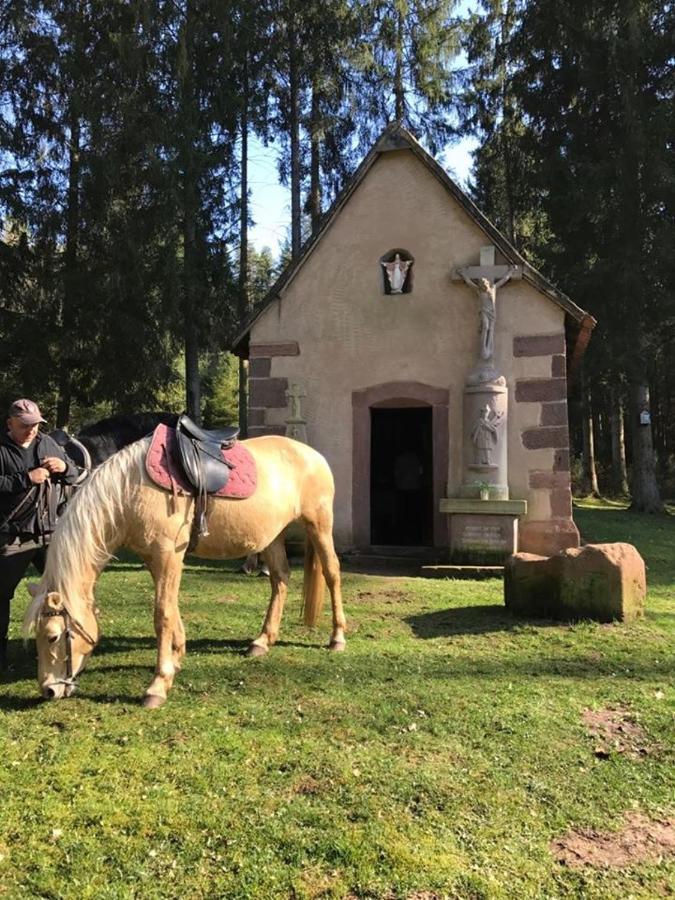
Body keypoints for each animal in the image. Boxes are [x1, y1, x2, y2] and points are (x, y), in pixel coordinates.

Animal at [23, 432, 346, 708]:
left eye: (52, 636)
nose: (48, 690)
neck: (130, 491)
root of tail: (313, 454)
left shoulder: (168, 556)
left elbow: (162, 614)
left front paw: (158, 685)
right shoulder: (156, 560)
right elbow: (171, 608)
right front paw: (176, 658)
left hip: (318, 524)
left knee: (332, 573)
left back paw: (337, 637)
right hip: (272, 536)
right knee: (280, 579)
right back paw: (263, 641)